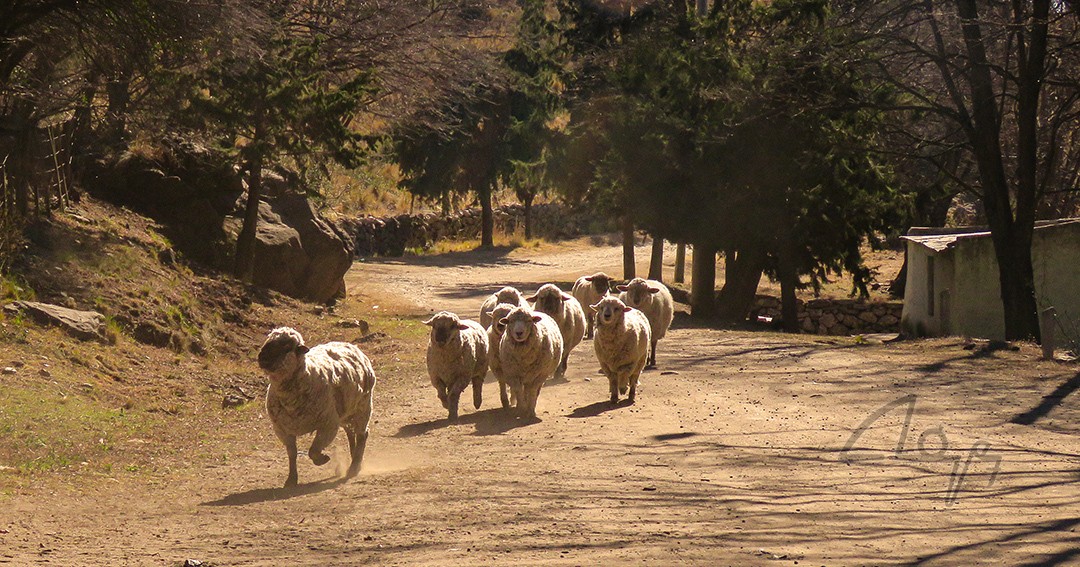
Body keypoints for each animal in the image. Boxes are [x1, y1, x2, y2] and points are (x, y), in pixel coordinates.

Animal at [259, 326, 378, 486]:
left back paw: (354, 467)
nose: (262, 358)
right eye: (268, 340)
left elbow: (313, 451)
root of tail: (350, 345)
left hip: (362, 407)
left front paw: (323, 459)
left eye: (286, 346)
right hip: (344, 411)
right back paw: (354, 460)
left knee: (362, 435)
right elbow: (292, 454)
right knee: (350, 433)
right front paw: (291, 479)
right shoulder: (283, 430)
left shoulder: (328, 425)